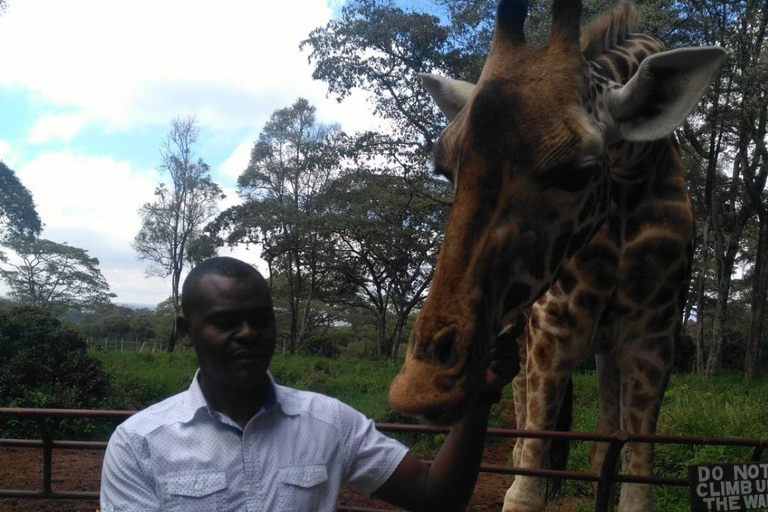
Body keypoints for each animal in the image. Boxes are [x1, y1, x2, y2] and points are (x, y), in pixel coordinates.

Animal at [390, 1, 728, 512]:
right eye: (446, 169)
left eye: (577, 172)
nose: (420, 389)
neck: (631, 176)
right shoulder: (554, 328)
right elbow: (524, 487)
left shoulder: (654, 336)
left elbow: (633, 485)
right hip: (526, 339)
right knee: (524, 427)